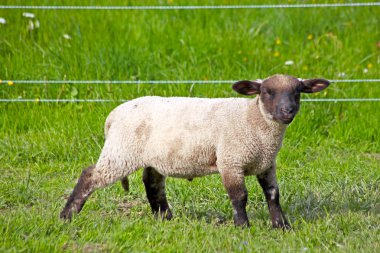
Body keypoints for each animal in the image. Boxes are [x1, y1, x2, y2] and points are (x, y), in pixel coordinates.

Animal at [60, 73, 330, 229]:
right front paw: (243, 226)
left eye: (297, 92)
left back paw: (165, 218)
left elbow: (273, 195)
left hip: (151, 156)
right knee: (90, 175)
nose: (287, 111)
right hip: (121, 152)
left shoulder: (266, 163)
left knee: (153, 184)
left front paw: (281, 226)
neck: (253, 120)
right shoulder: (230, 160)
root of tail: (112, 117)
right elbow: (239, 196)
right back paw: (67, 216)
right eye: (267, 92)